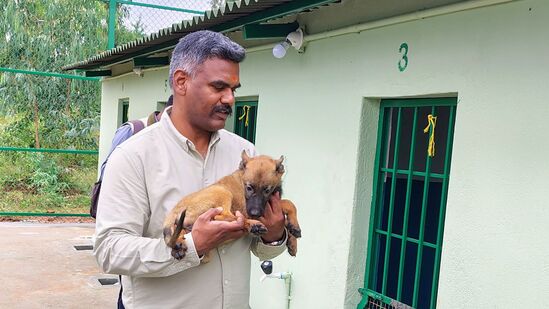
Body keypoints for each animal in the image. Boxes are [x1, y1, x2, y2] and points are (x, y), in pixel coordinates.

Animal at [164, 150, 300, 262]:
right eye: (249, 187)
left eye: (267, 190)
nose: (254, 214)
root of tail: (174, 211)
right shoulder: (258, 208)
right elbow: (289, 203)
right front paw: (295, 226)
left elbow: (286, 221)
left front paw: (293, 236)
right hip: (222, 191)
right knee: (223, 216)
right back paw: (252, 225)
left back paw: (178, 245)